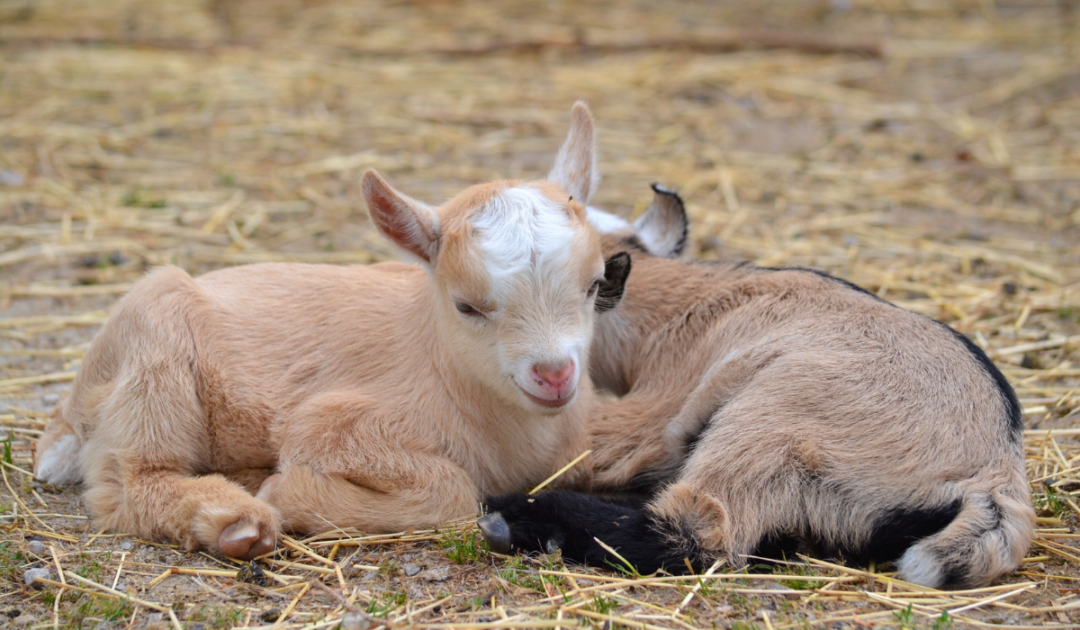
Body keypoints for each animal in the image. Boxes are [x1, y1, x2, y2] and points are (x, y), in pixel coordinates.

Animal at [33, 102, 632, 560]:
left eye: (594, 284)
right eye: (467, 306)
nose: (554, 375)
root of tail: (73, 402)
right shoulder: (332, 426)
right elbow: (455, 491)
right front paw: (287, 489)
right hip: (154, 351)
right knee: (129, 481)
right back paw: (236, 519)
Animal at [481, 185, 1034, 589]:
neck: (682, 308)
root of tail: (996, 475)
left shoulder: (654, 412)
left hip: (775, 423)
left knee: (697, 531)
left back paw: (511, 517)